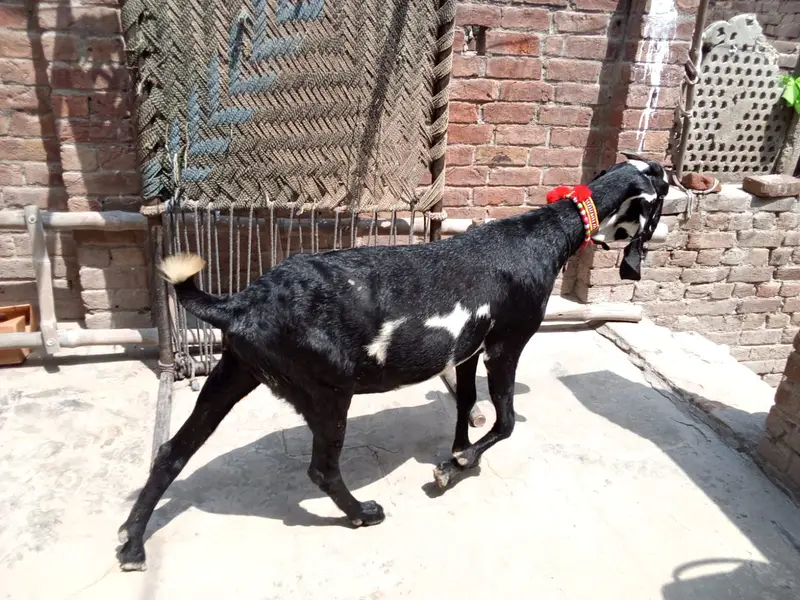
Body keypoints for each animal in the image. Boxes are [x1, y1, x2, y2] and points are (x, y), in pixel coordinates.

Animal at [117, 155, 669, 570]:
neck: (543, 234)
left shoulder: (466, 351)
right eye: (664, 190)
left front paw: (458, 456)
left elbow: (465, 403)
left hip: (235, 372)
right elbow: (507, 421)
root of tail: (240, 302)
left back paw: (132, 542)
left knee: (172, 452)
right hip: (327, 391)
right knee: (321, 468)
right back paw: (362, 513)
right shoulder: (506, 344)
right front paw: (456, 466)